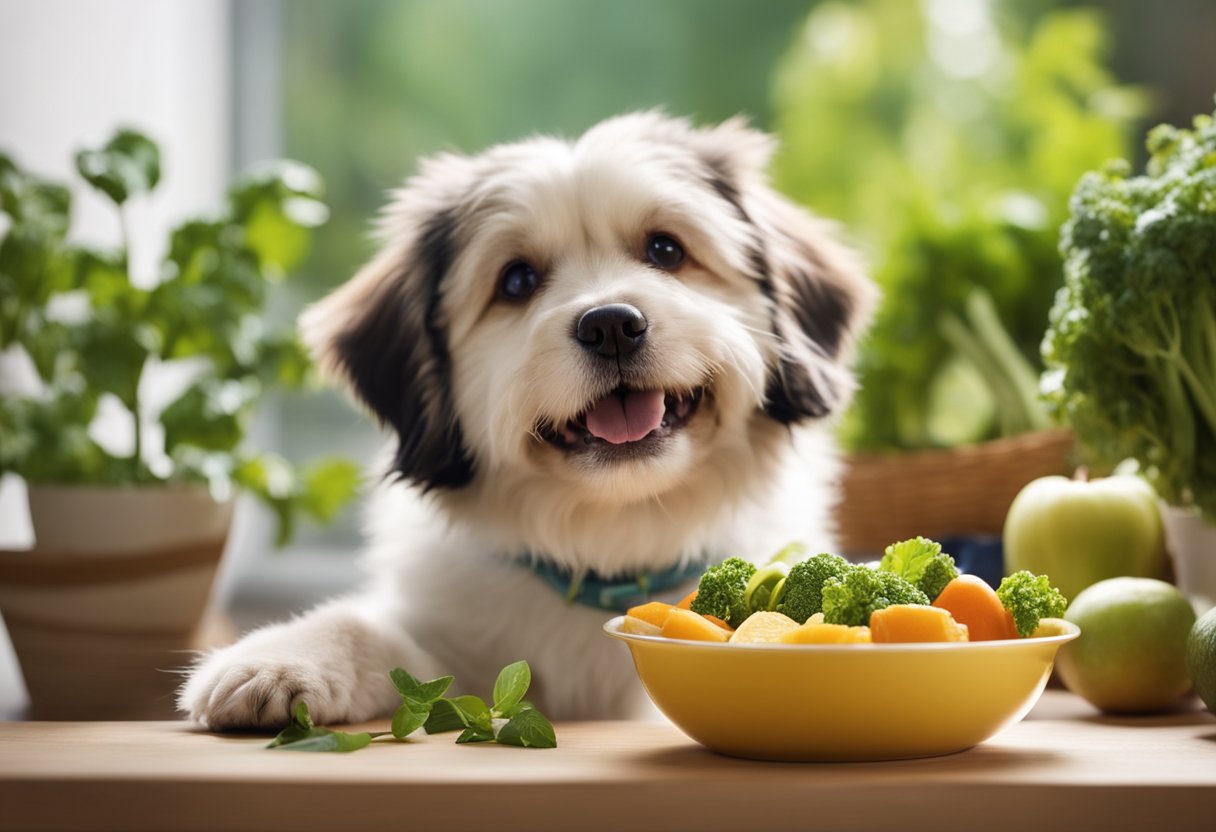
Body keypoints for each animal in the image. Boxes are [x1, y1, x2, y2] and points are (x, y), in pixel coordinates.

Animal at [177, 111, 875, 729]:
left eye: (666, 249)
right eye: (516, 280)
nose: (611, 324)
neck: (612, 543)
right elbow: (370, 631)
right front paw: (276, 662)